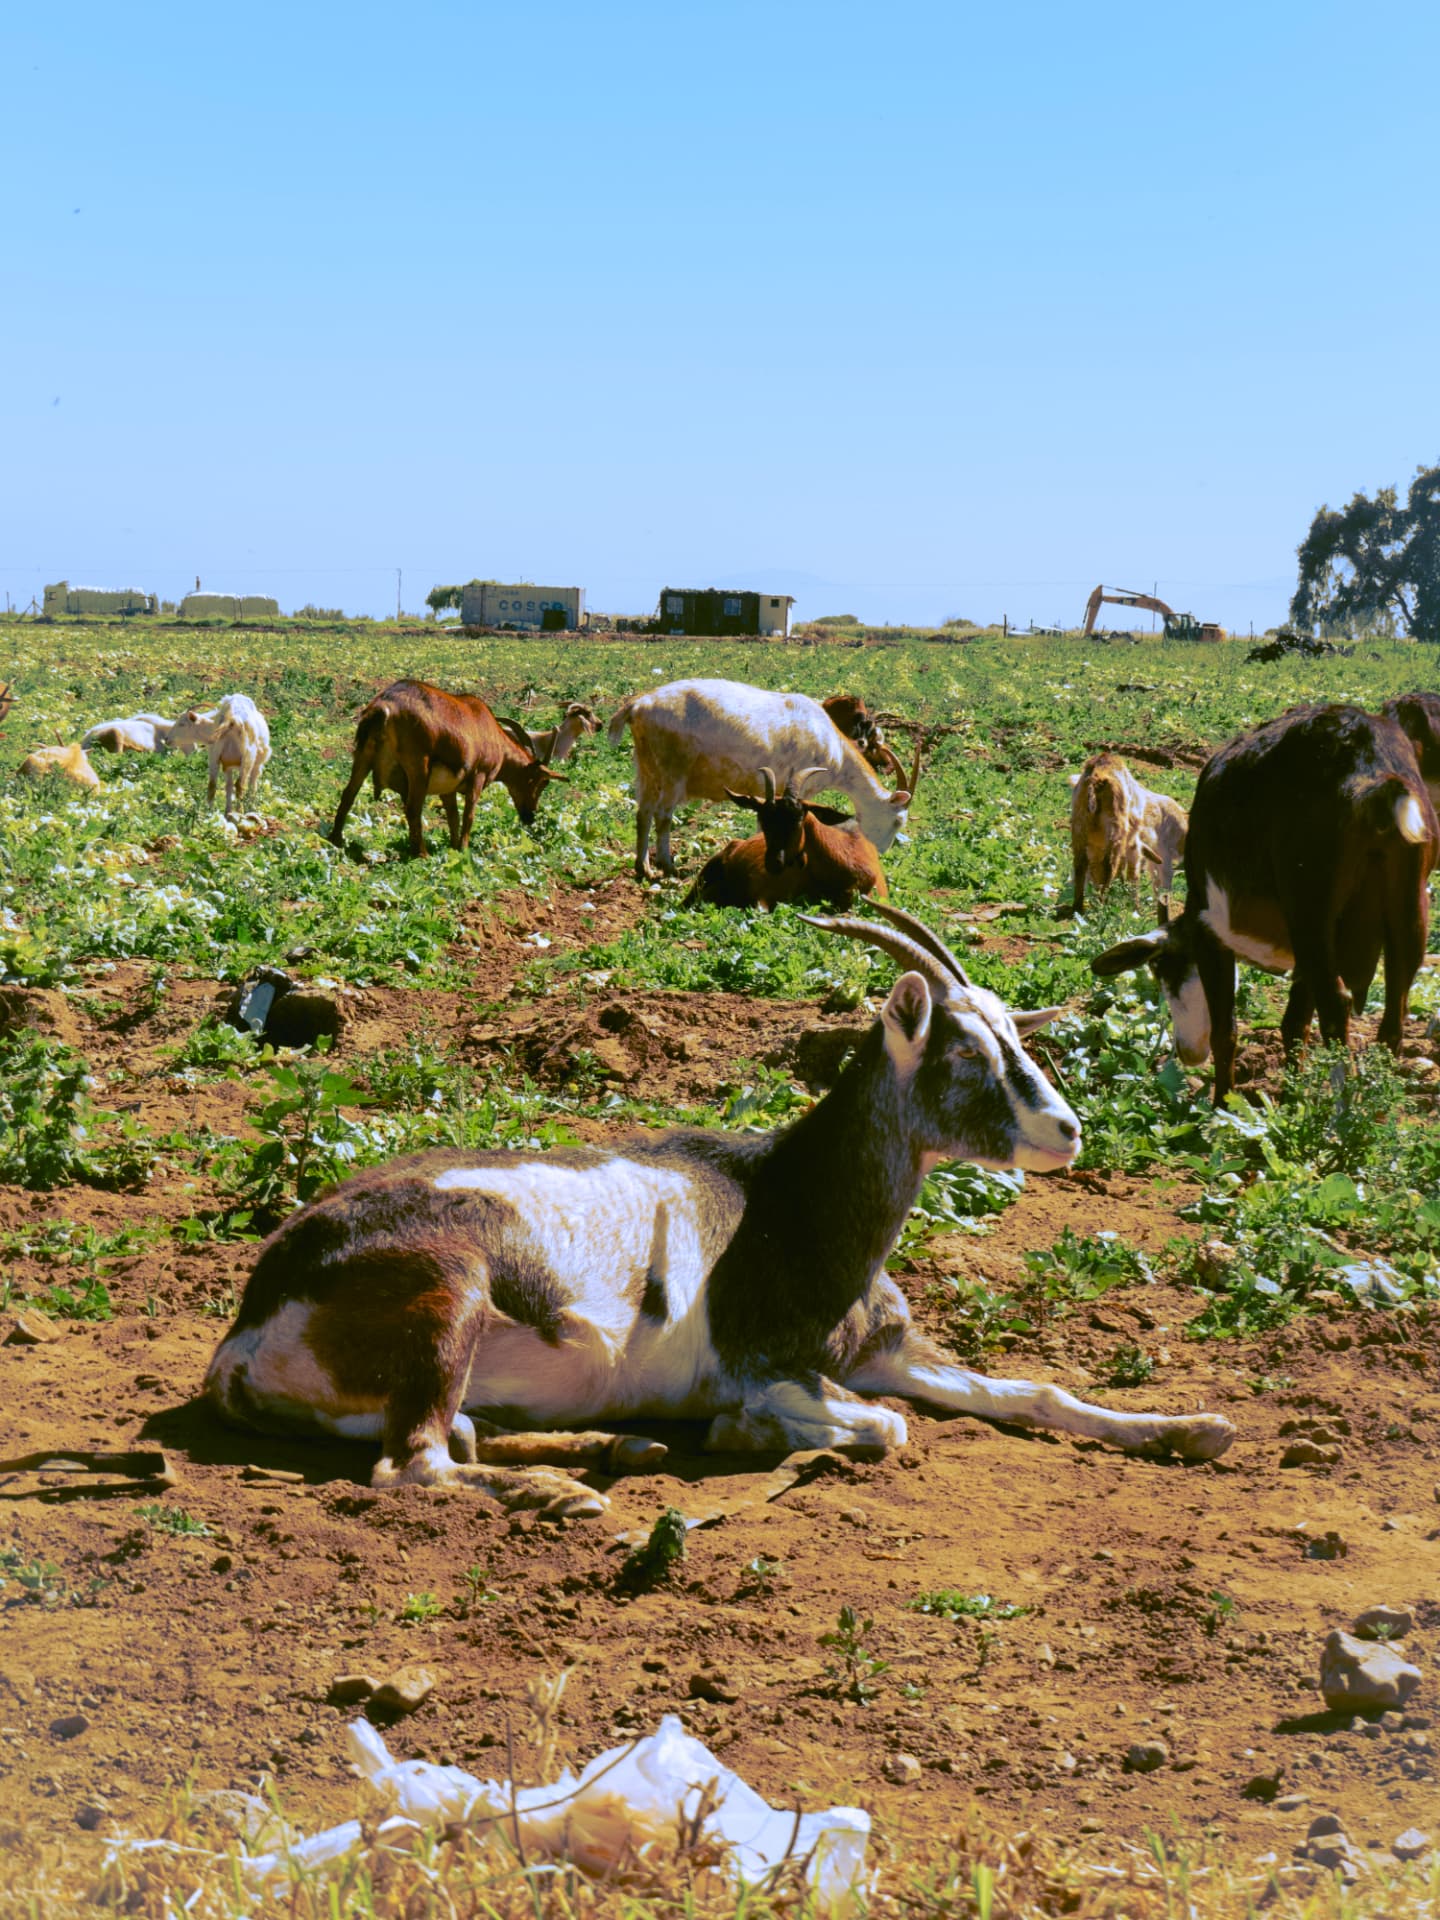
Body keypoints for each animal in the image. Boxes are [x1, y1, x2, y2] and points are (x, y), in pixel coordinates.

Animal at [206, 901, 1234, 1513]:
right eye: (968, 1055)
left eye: (1017, 1040)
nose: (1066, 1131)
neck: (786, 1196)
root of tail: (243, 1334)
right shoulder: (766, 1368)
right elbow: (886, 1426)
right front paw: (748, 1434)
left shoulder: (884, 1352)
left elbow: (1037, 1392)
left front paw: (1195, 1429)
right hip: (451, 1294)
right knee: (415, 1461)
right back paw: (566, 1491)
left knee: (459, 1434)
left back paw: (618, 1448)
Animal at [329, 679, 566, 858]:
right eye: (541, 782)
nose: (530, 817)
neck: (493, 734)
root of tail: (384, 707)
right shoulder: (478, 777)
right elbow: (469, 815)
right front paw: (463, 849)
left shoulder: (447, 789)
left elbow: (453, 816)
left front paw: (453, 847)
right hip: (419, 765)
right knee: (413, 808)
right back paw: (422, 854)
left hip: (363, 754)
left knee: (348, 794)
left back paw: (336, 839)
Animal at [608, 678, 912, 881]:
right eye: (898, 821)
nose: (879, 853)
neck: (832, 745)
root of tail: (638, 705)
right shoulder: (800, 789)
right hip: (673, 770)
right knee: (662, 815)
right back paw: (668, 866)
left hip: (646, 768)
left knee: (643, 813)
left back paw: (643, 868)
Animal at [1063, 752, 1188, 917]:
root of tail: (1097, 776)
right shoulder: (1137, 847)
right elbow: (1134, 875)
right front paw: (1135, 907)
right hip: (1115, 833)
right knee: (1109, 867)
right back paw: (1102, 907)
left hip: (1079, 828)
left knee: (1081, 865)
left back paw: (1078, 907)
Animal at [1092, 704, 1437, 1103]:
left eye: (1164, 970)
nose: (1186, 1052)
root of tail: (1373, 767)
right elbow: (1294, 1025)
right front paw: (1289, 1096)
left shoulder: (1211, 935)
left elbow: (1226, 1032)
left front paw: (1223, 1104)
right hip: (1409, 909)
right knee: (1395, 1008)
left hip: (1309, 912)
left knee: (1336, 1004)